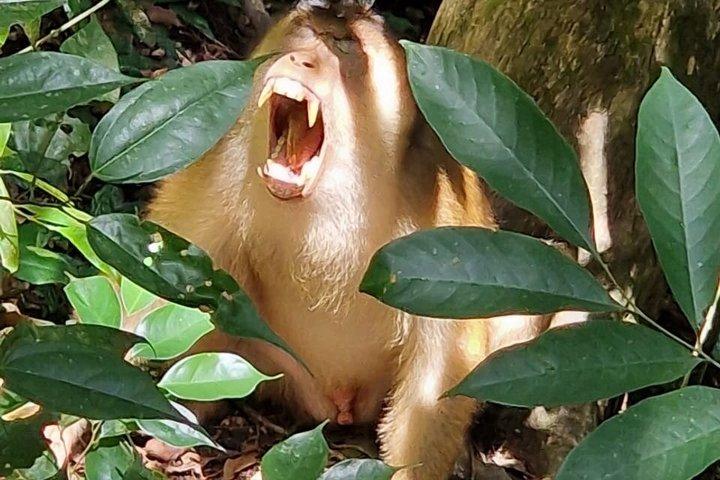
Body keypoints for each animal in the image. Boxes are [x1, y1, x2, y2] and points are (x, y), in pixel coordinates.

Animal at [147, 1, 548, 478]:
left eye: (343, 45)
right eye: (306, 33)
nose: (300, 60)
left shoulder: (438, 202)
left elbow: (444, 358)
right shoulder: (221, 165)